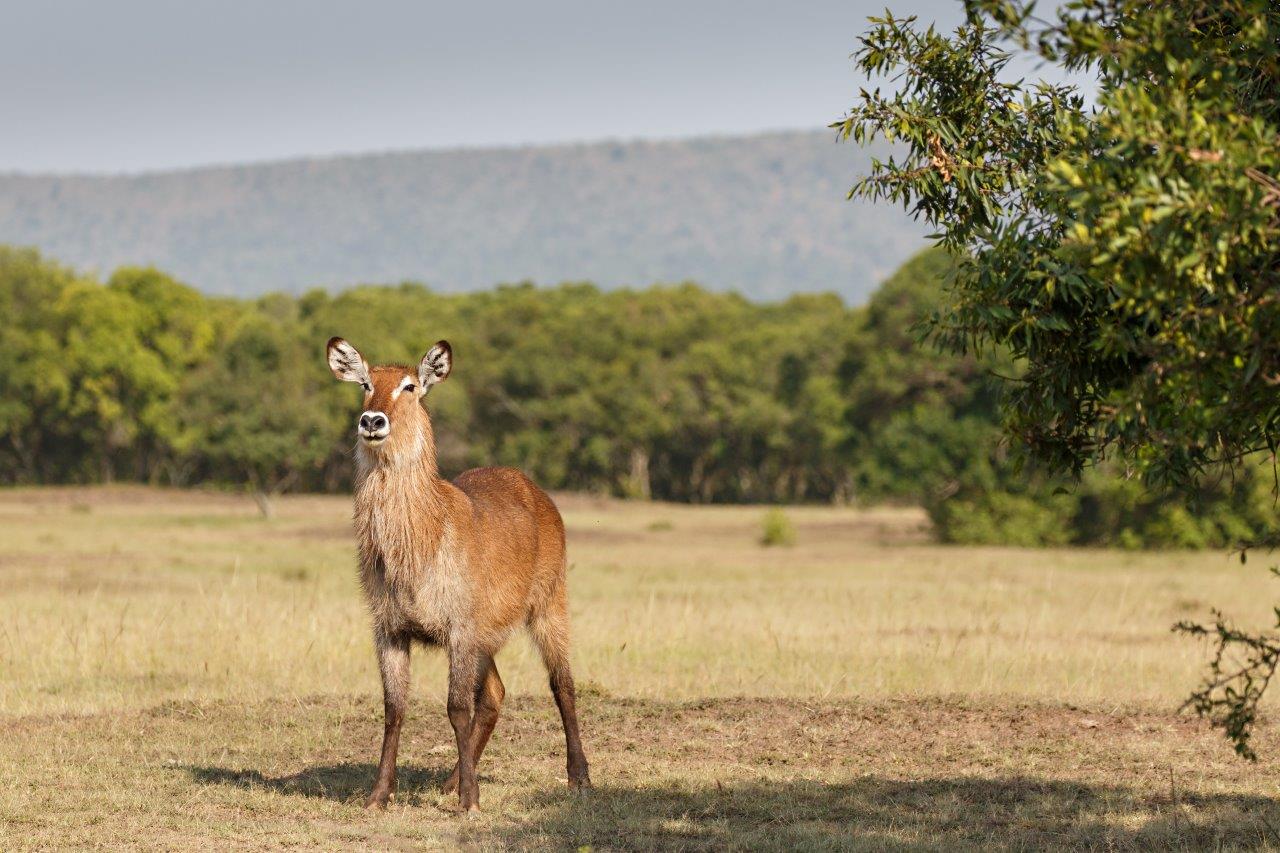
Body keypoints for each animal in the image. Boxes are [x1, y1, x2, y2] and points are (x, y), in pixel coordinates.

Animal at [325, 336, 591, 813]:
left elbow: (456, 709)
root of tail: (531, 485)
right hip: (490, 636)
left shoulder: (461, 629)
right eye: (367, 383)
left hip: (549, 604)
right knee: (496, 695)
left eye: (410, 386)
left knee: (562, 683)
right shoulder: (390, 629)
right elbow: (394, 709)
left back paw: (578, 777)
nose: (372, 420)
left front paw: (470, 800)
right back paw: (451, 779)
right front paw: (379, 795)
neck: (421, 541)